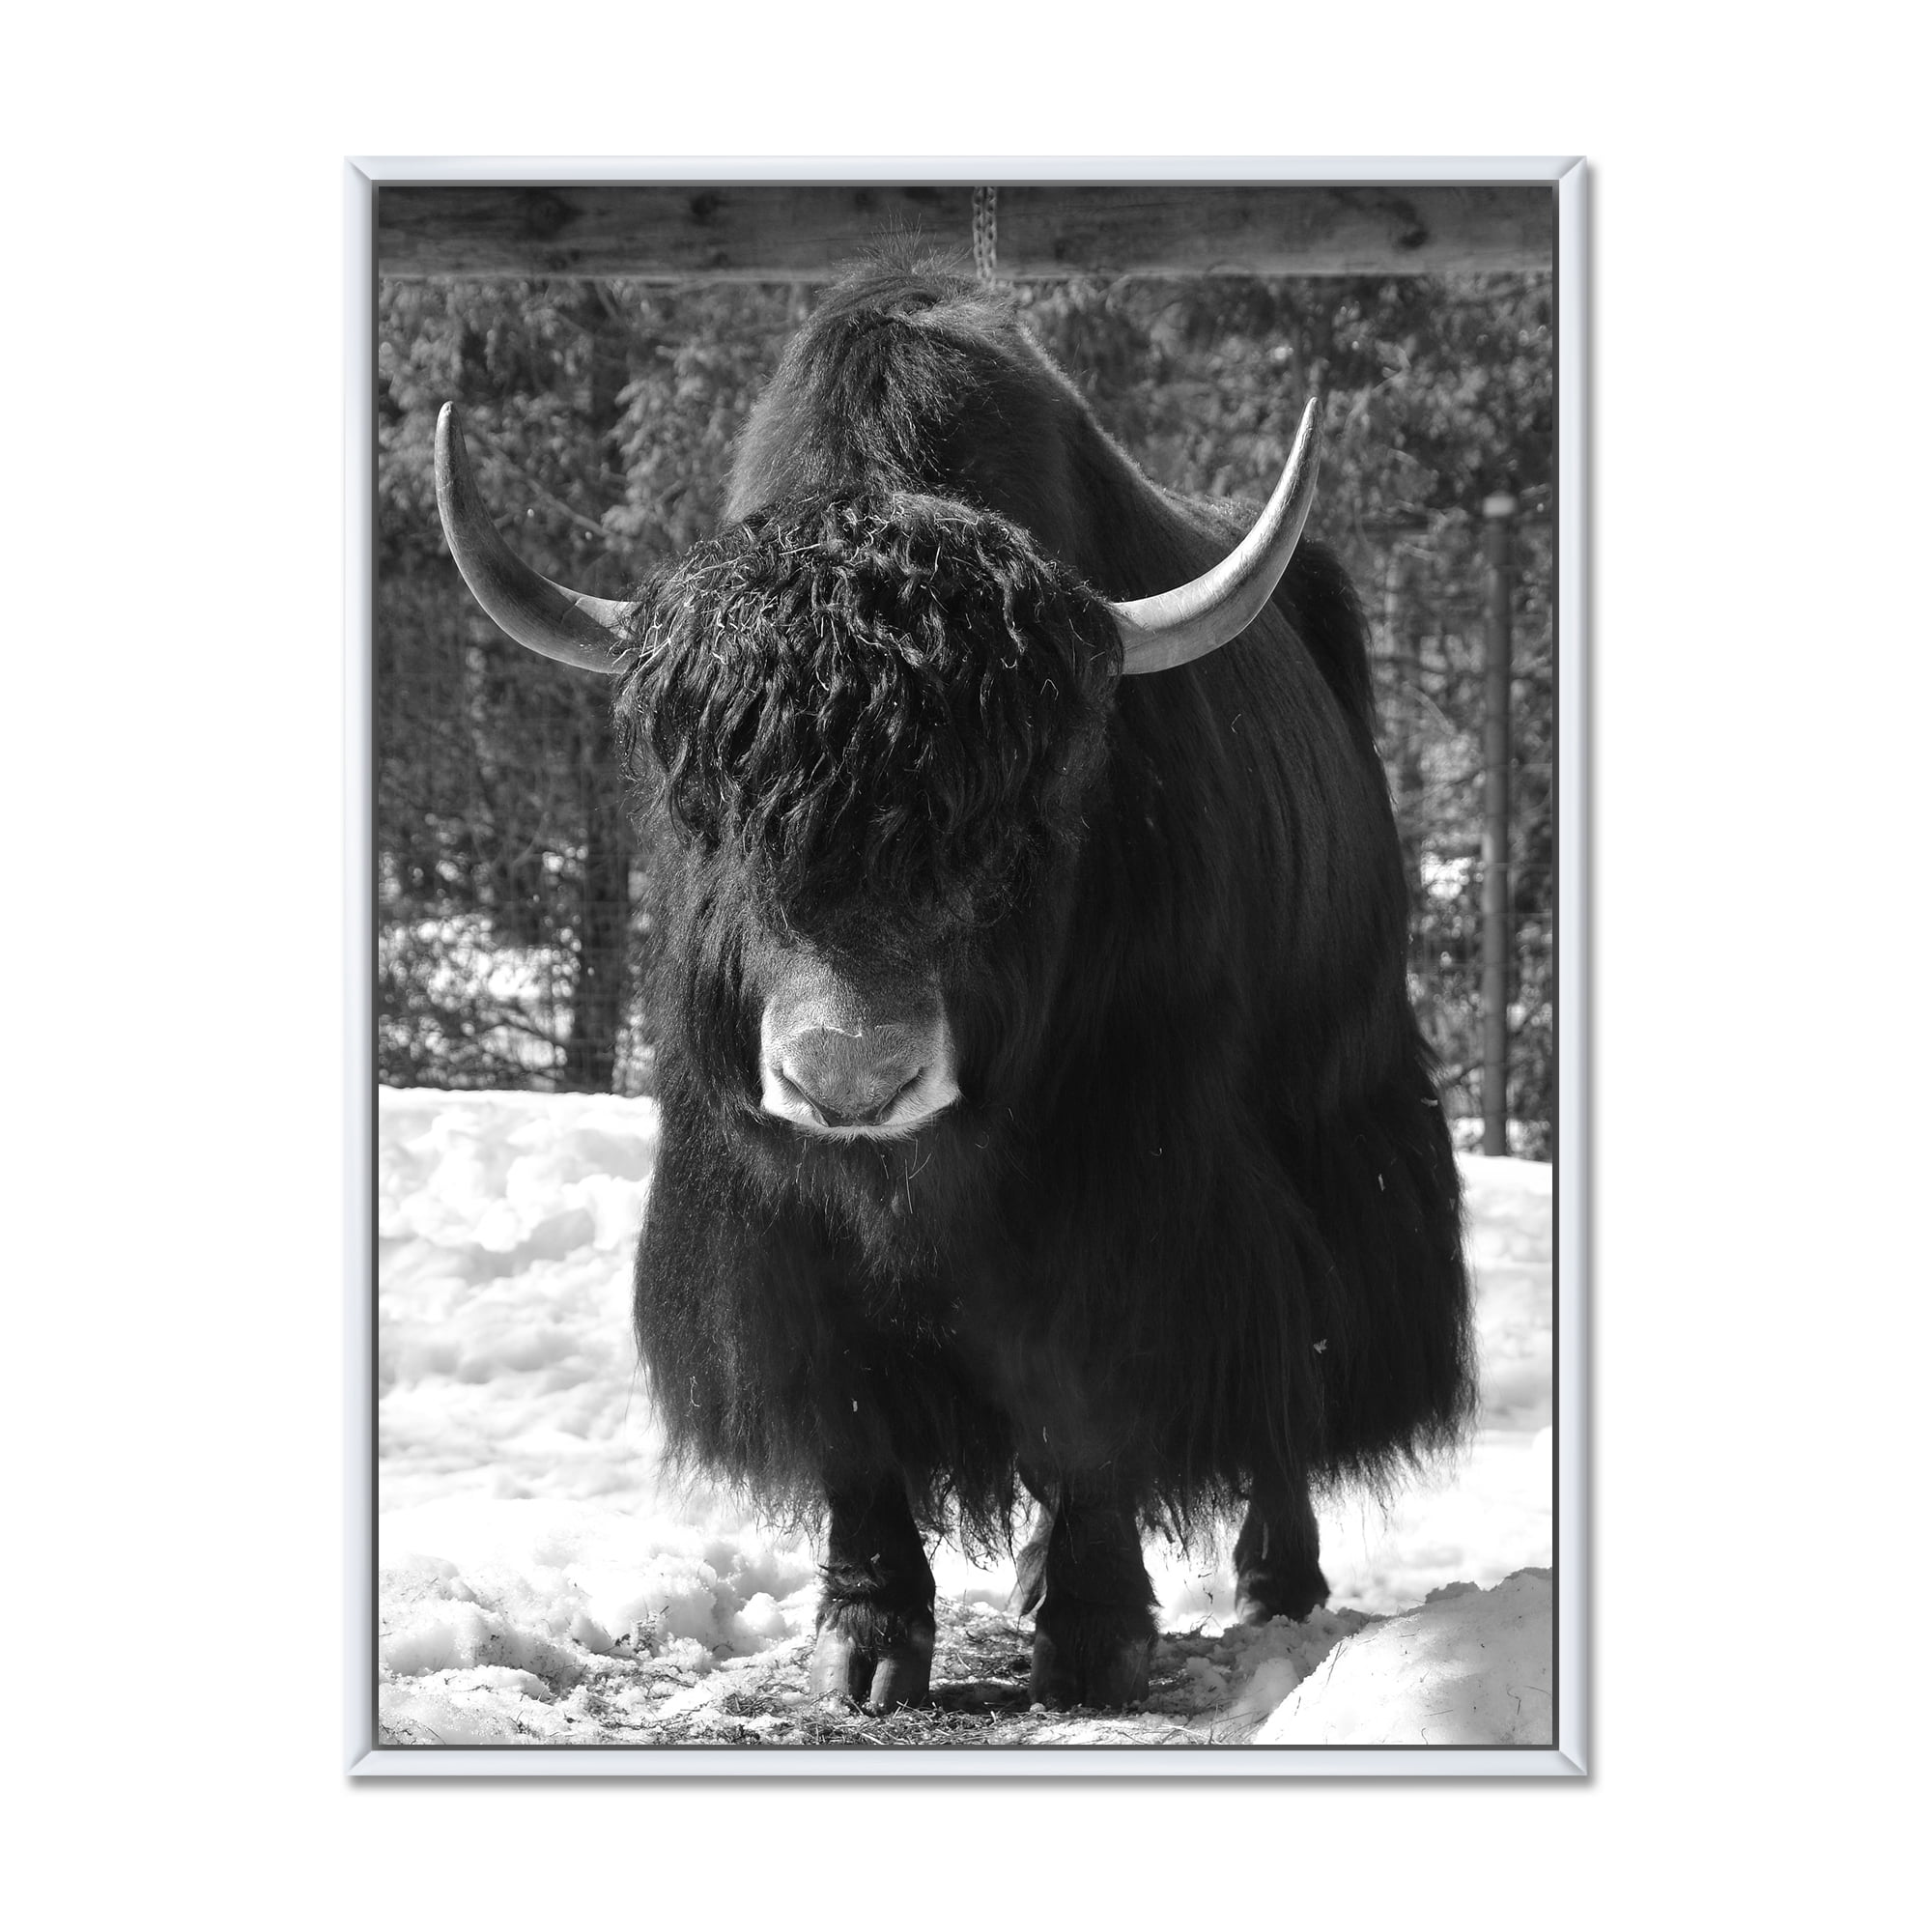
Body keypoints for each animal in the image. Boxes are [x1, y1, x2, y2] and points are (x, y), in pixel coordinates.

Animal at [433, 257, 1475, 1713]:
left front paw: (1092, 1638)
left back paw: (1277, 1581)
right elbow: (848, 1409)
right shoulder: (765, 1209)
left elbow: (1097, 1388)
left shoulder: (1133, 1180)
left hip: (1336, 1108)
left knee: (1295, 1362)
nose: (850, 1079)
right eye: (710, 806)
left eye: (1021, 815)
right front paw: (865, 1640)